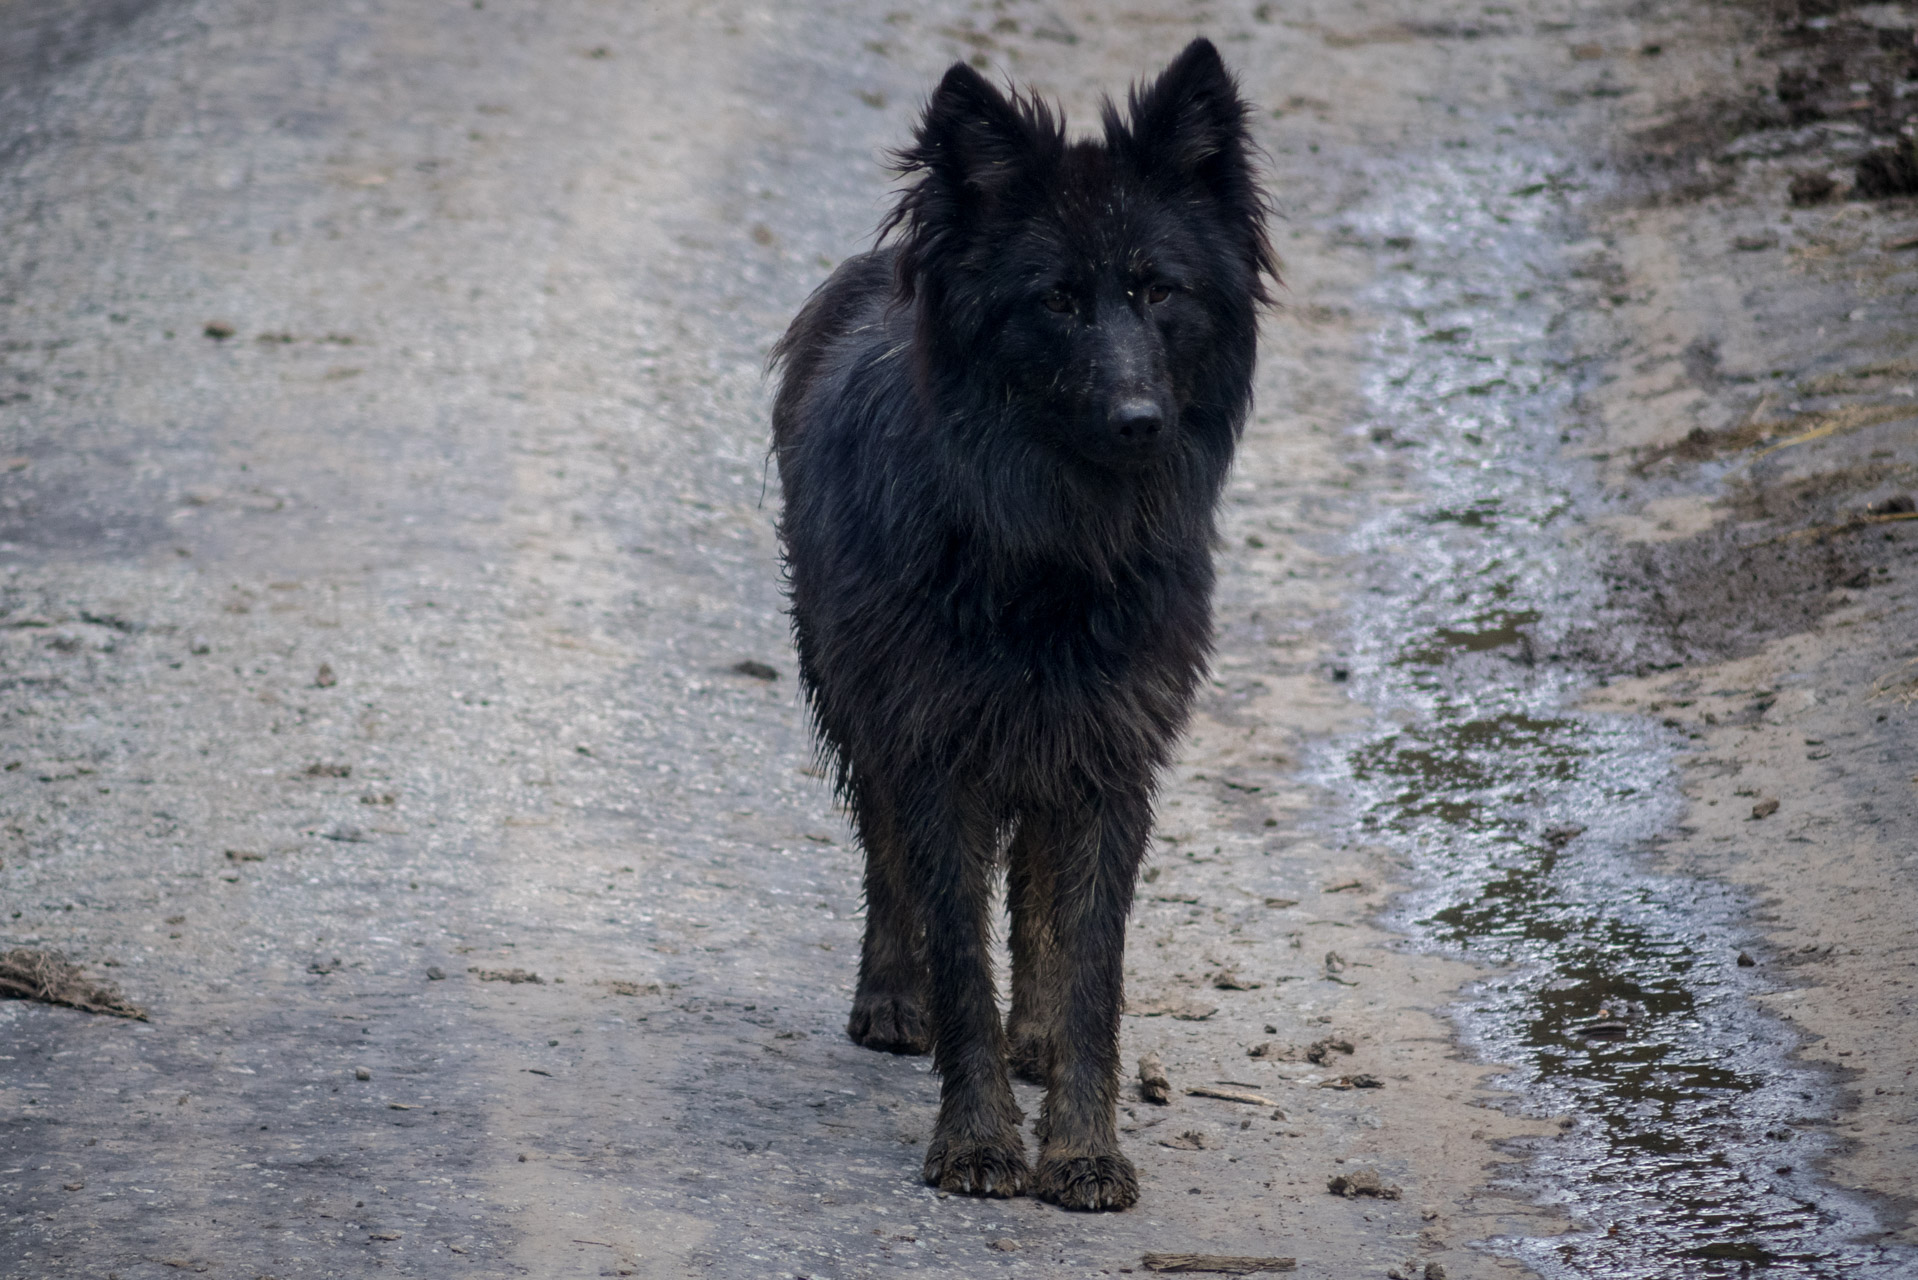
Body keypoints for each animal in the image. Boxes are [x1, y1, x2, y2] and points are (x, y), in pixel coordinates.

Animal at [763, 35, 1273, 1205]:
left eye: (1157, 289)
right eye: (1058, 301)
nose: (1139, 420)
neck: (1053, 547)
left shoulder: (1110, 753)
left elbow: (1089, 967)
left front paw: (1082, 1147)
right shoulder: (936, 744)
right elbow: (960, 951)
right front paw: (979, 1140)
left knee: (1037, 893)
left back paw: (1030, 1030)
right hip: (854, 692)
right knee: (887, 856)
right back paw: (891, 995)